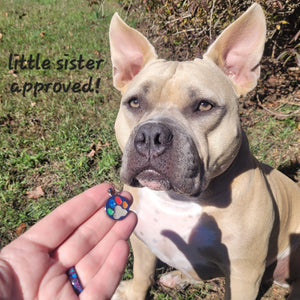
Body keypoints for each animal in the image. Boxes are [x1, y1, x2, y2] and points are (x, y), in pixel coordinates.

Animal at [109, 3, 300, 298]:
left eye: (204, 106)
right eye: (135, 102)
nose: (152, 135)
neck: (176, 201)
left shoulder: (244, 274)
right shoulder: (139, 239)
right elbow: (142, 273)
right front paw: (134, 292)